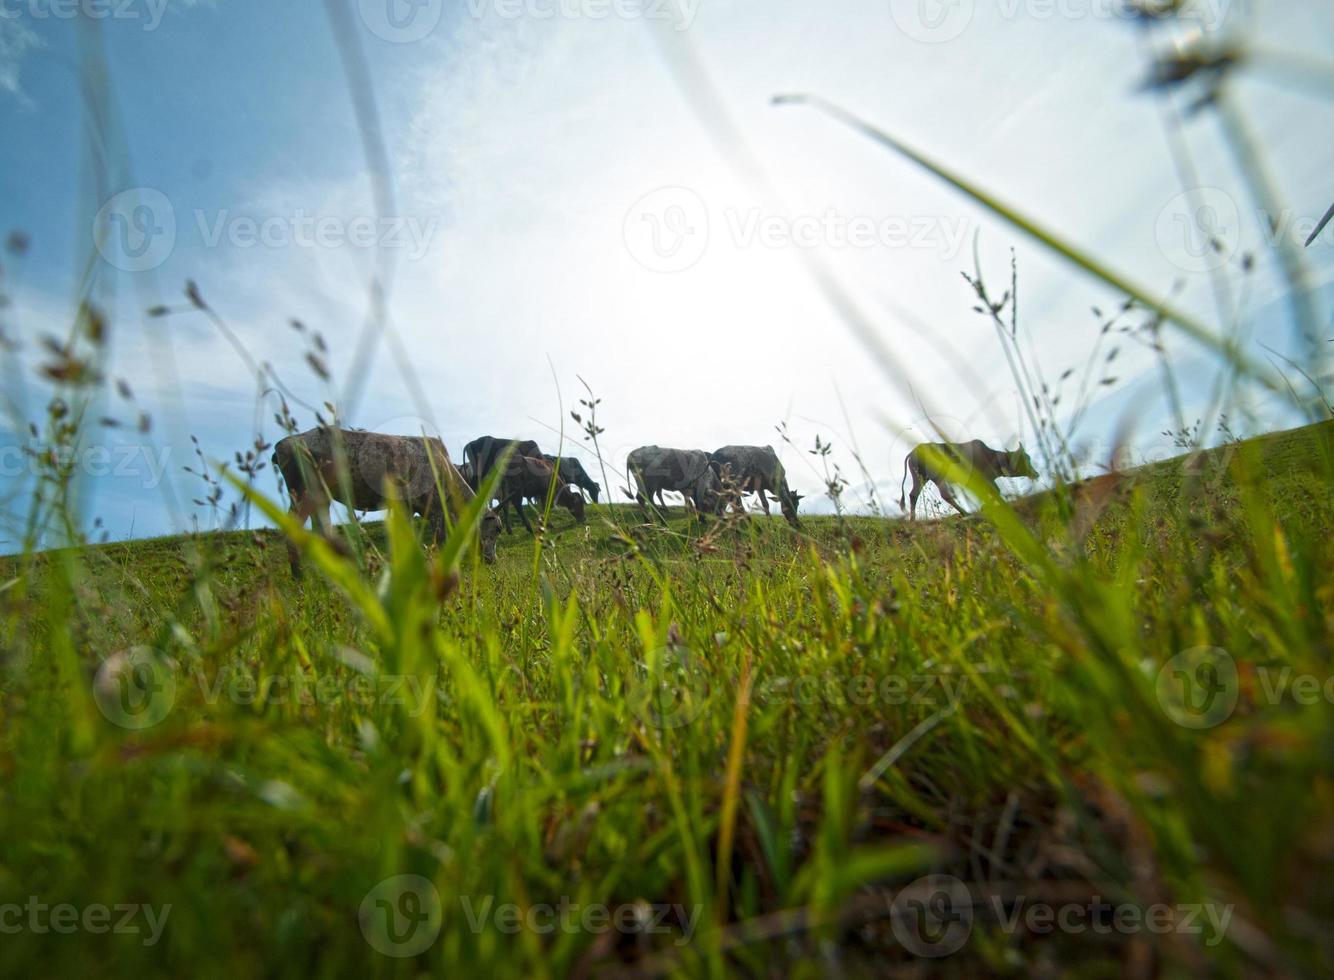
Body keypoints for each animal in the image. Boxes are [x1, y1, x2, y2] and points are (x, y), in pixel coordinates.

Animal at [272, 426, 501, 576]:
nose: (492, 560)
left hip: (320, 498)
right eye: (495, 530)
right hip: (302, 493)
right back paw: (299, 577)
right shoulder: (435, 508)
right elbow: (440, 539)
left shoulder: (407, 507)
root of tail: (284, 443)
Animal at [901, 442, 1035, 522]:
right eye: (1025, 459)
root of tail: (914, 451)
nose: (1036, 474)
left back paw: (912, 520)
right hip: (939, 477)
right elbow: (996, 491)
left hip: (921, 478)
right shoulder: (984, 479)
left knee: (913, 495)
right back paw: (965, 513)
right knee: (945, 495)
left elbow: (994, 492)